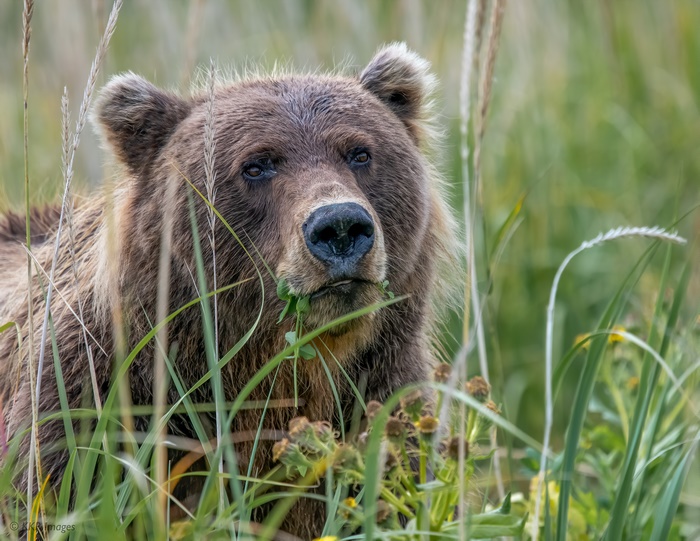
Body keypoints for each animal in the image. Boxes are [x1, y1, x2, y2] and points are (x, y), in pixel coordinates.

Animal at [0, 43, 458, 537]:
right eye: (256, 165)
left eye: (359, 153)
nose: (339, 226)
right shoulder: (96, 401)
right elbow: (60, 491)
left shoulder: (382, 393)